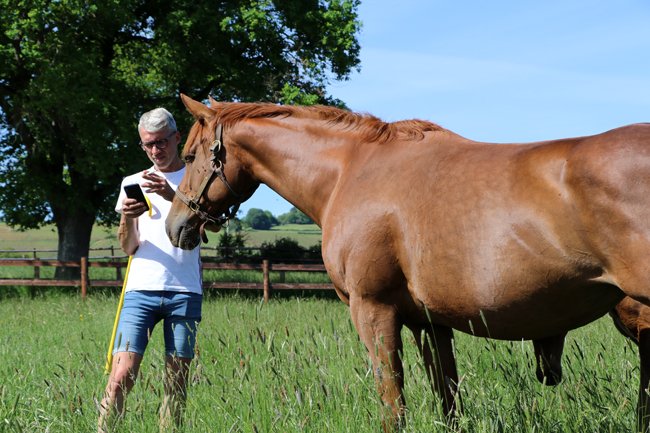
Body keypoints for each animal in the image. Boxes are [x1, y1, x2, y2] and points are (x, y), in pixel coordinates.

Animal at [166, 93, 650, 431]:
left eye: (188, 156)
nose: (176, 226)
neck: (349, 170)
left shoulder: (373, 311)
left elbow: (392, 403)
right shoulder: (430, 323)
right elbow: (448, 399)